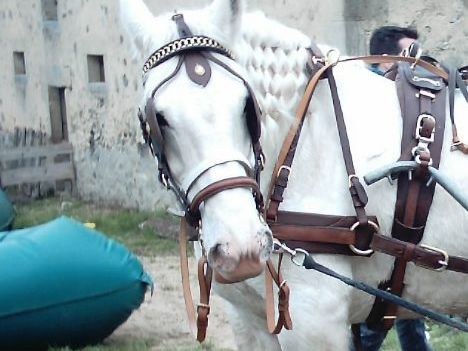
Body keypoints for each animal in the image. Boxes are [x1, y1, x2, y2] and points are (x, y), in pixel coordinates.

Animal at [121, 1, 468, 350]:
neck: (303, 139)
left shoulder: (314, 324)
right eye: (158, 118)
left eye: (246, 106)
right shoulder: (248, 319)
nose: (240, 247)